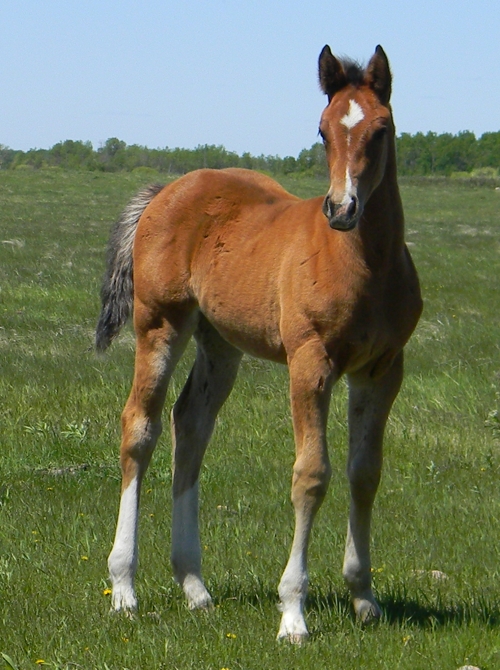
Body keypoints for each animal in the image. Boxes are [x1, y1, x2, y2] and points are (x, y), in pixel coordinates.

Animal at [96, 45, 422, 642]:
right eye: (321, 130)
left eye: (382, 129)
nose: (342, 209)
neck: (363, 265)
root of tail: (167, 190)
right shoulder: (310, 362)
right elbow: (311, 475)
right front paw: (293, 611)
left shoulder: (383, 368)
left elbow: (364, 473)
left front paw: (364, 597)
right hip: (160, 323)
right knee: (140, 427)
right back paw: (124, 586)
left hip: (220, 344)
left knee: (189, 428)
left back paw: (194, 585)